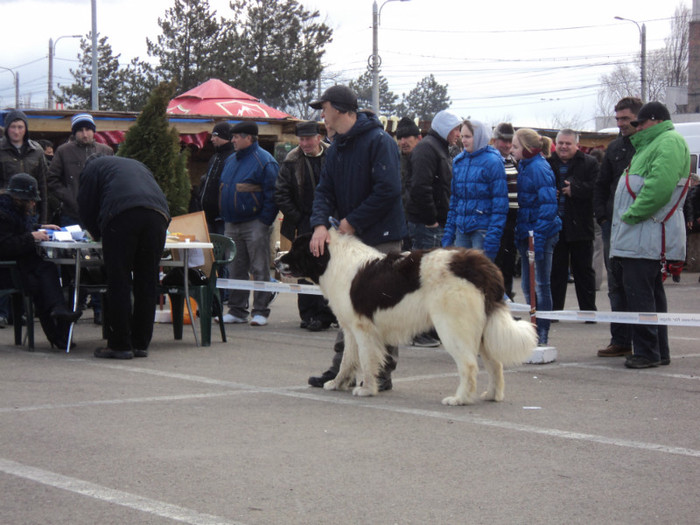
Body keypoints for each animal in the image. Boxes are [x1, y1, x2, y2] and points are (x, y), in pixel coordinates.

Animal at [274, 229, 536, 406]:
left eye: (296, 249)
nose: (276, 259)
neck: (332, 260)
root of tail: (481, 265)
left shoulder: (363, 329)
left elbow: (366, 361)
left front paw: (367, 389)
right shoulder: (350, 329)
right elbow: (347, 359)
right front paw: (337, 383)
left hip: (452, 326)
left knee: (469, 365)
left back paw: (459, 398)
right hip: (481, 329)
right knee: (495, 364)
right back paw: (492, 395)